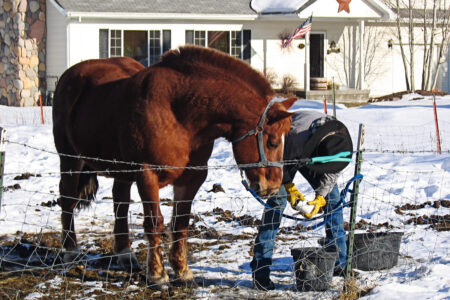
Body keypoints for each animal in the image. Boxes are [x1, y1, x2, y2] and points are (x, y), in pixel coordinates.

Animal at [51, 45, 296, 288]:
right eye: (272, 142)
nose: (272, 187)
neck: (180, 114)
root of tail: (71, 75)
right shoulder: (146, 175)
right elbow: (154, 223)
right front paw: (157, 274)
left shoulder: (192, 178)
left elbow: (181, 222)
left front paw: (182, 271)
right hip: (70, 160)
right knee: (68, 199)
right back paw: (71, 251)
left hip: (121, 170)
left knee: (120, 203)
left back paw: (125, 255)